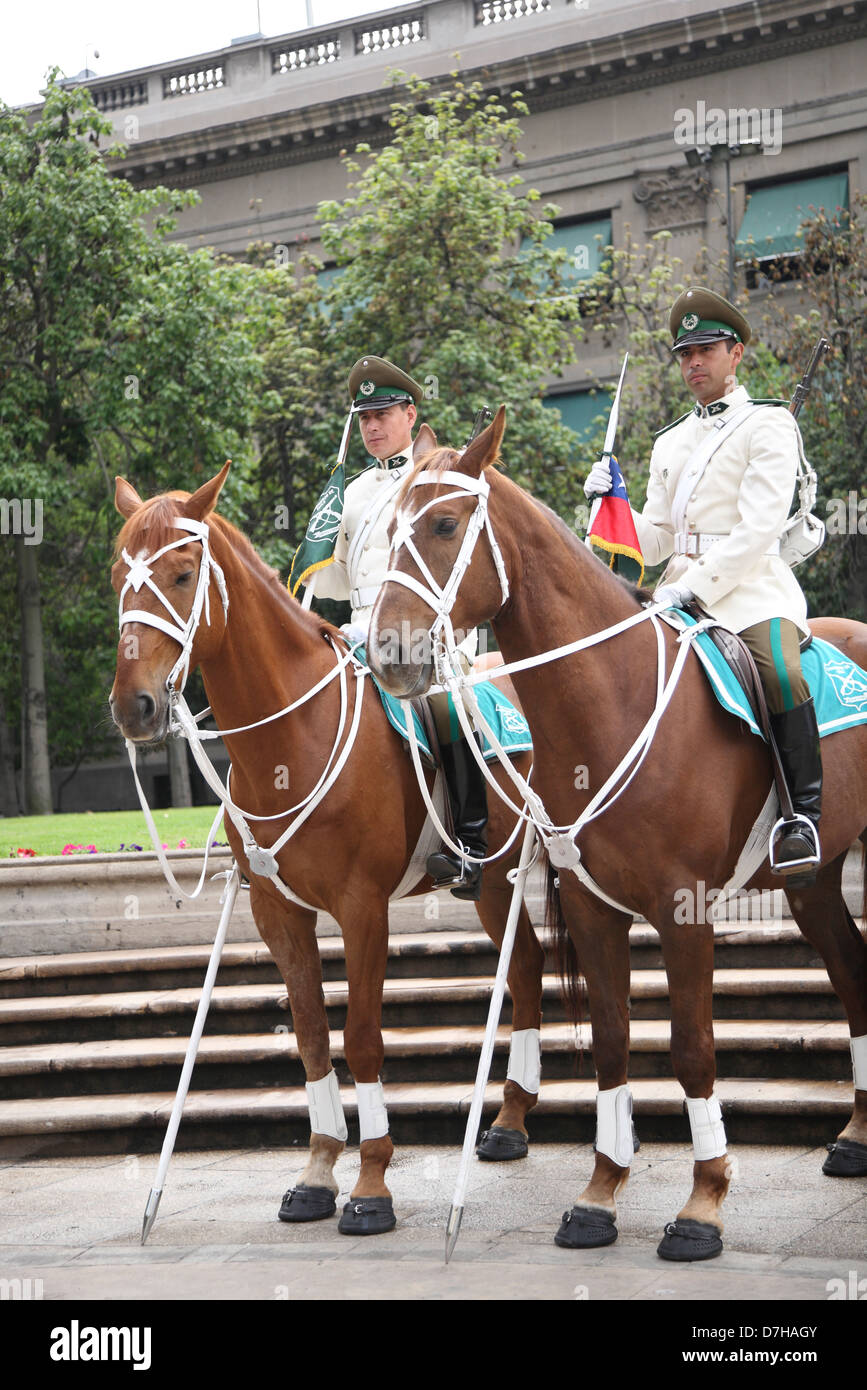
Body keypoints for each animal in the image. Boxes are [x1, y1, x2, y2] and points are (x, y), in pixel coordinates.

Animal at [106, 464, 541, 1239]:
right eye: (116, 578)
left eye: (183, 574)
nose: (135, 707)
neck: (291, 737)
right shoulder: (278, 912)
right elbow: (311, 1038)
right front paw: (316, 1174)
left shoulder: (364, 909)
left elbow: (362, 1037)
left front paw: (370, 1184)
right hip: (494, 886)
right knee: (526, 971)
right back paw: (510, 1123)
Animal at [369, 408, 867, 1262]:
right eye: (388, 525)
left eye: (442, 524)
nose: (387, 656)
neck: (612, 695)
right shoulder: (594, 908)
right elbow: (608, 1041)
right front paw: (599, 1193)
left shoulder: (682, 908)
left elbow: (692, 1047)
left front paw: (702, 1205)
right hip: (815, 881)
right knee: (854, 976)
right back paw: (856, 1139)